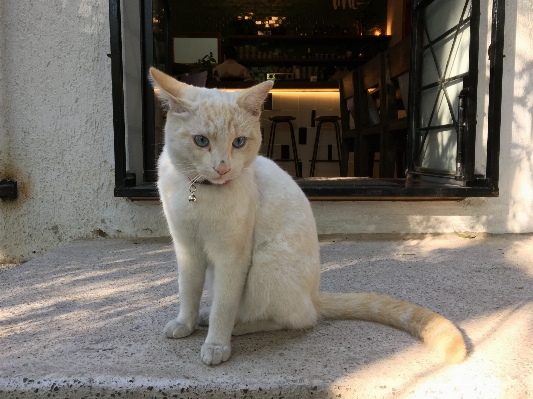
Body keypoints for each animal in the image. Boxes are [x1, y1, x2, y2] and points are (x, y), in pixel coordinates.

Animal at [150, 67, 466, 368]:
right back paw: (204, 317)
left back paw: (238, 327)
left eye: (238, 142)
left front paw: (216, 344)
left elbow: (224, 306)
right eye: (201, 140)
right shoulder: (187, 250)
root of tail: (315, 293)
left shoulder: (232, 257)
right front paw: (185, 323)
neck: (199, 192)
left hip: (266, 262)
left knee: (298, 318)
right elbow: (187, 291)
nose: (223, 168)